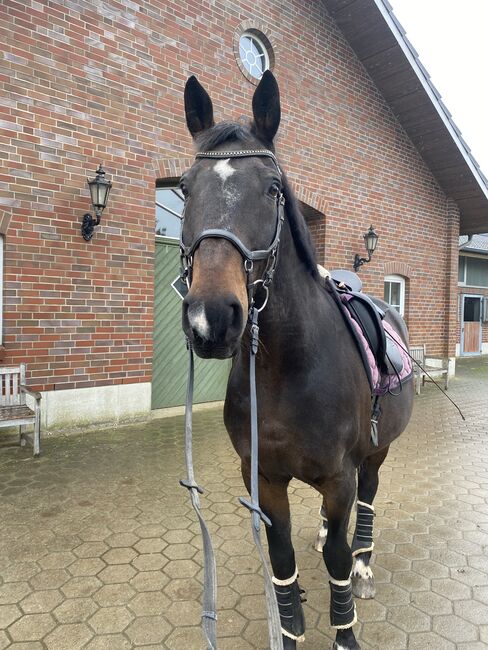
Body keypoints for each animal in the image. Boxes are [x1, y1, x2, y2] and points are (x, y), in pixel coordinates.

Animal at [179, 71, 412, 648]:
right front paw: (289, 626)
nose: (211, 317)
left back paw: (364, 563)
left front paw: (345, 630)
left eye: (273, 189)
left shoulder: (340, 476)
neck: (288, 369)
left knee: (367, 503)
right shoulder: (262, 476)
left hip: (375, 456)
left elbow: (336, 562)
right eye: (185, 188)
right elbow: (281, 554)